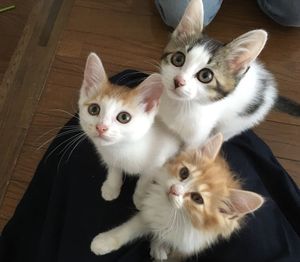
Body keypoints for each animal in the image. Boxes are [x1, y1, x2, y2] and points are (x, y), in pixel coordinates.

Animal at [78, 52, 180, 201]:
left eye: (124, 117)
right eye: (94, 109)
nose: (101, 127)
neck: (121, 149)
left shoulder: (159, 160)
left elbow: (145, 179)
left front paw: (141, 198)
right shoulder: (111, 158)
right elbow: (114, 168)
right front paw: (112, 186)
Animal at [90, 134, 264, 260]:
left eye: (197, 198)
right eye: (184, 173)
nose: (174, 189)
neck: (176, 215)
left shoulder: (189, 243)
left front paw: (159, 247)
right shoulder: (151, 212)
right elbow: (128, 229)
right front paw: (104, 242)